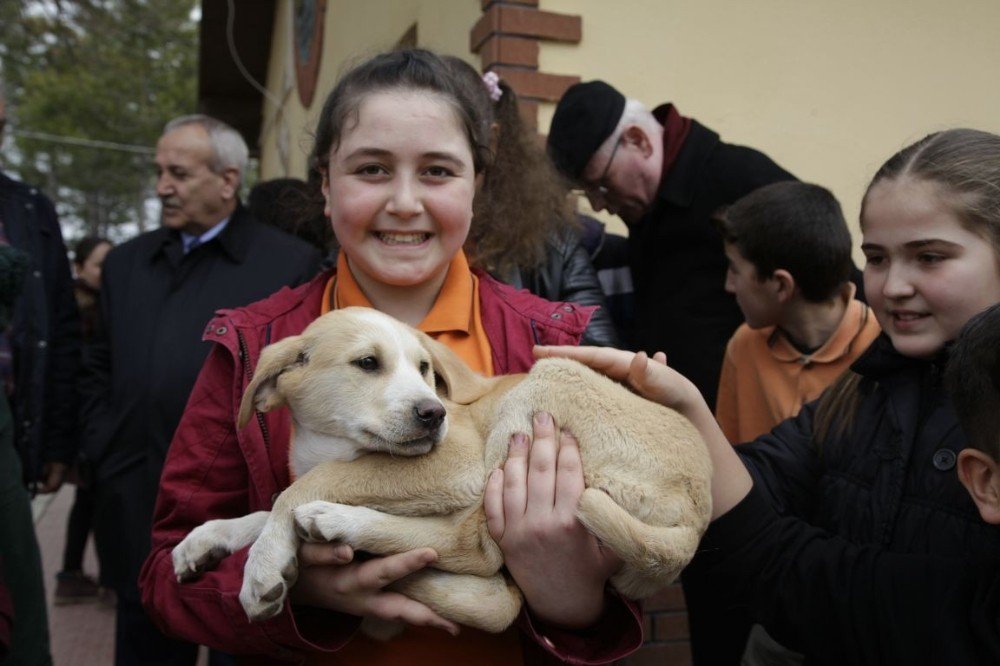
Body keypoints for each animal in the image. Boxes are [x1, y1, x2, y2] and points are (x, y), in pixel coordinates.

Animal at [176, 306, 716, 632]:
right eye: (367, 363)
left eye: (424, 369)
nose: (433, 414)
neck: (336, 445)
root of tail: (697, 518)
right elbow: (271, 506)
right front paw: (209, 539)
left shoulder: (456, 462)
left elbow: (305, 488)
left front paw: (264, 564)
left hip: (542, 387)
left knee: (472, 546)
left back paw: (344, 525)